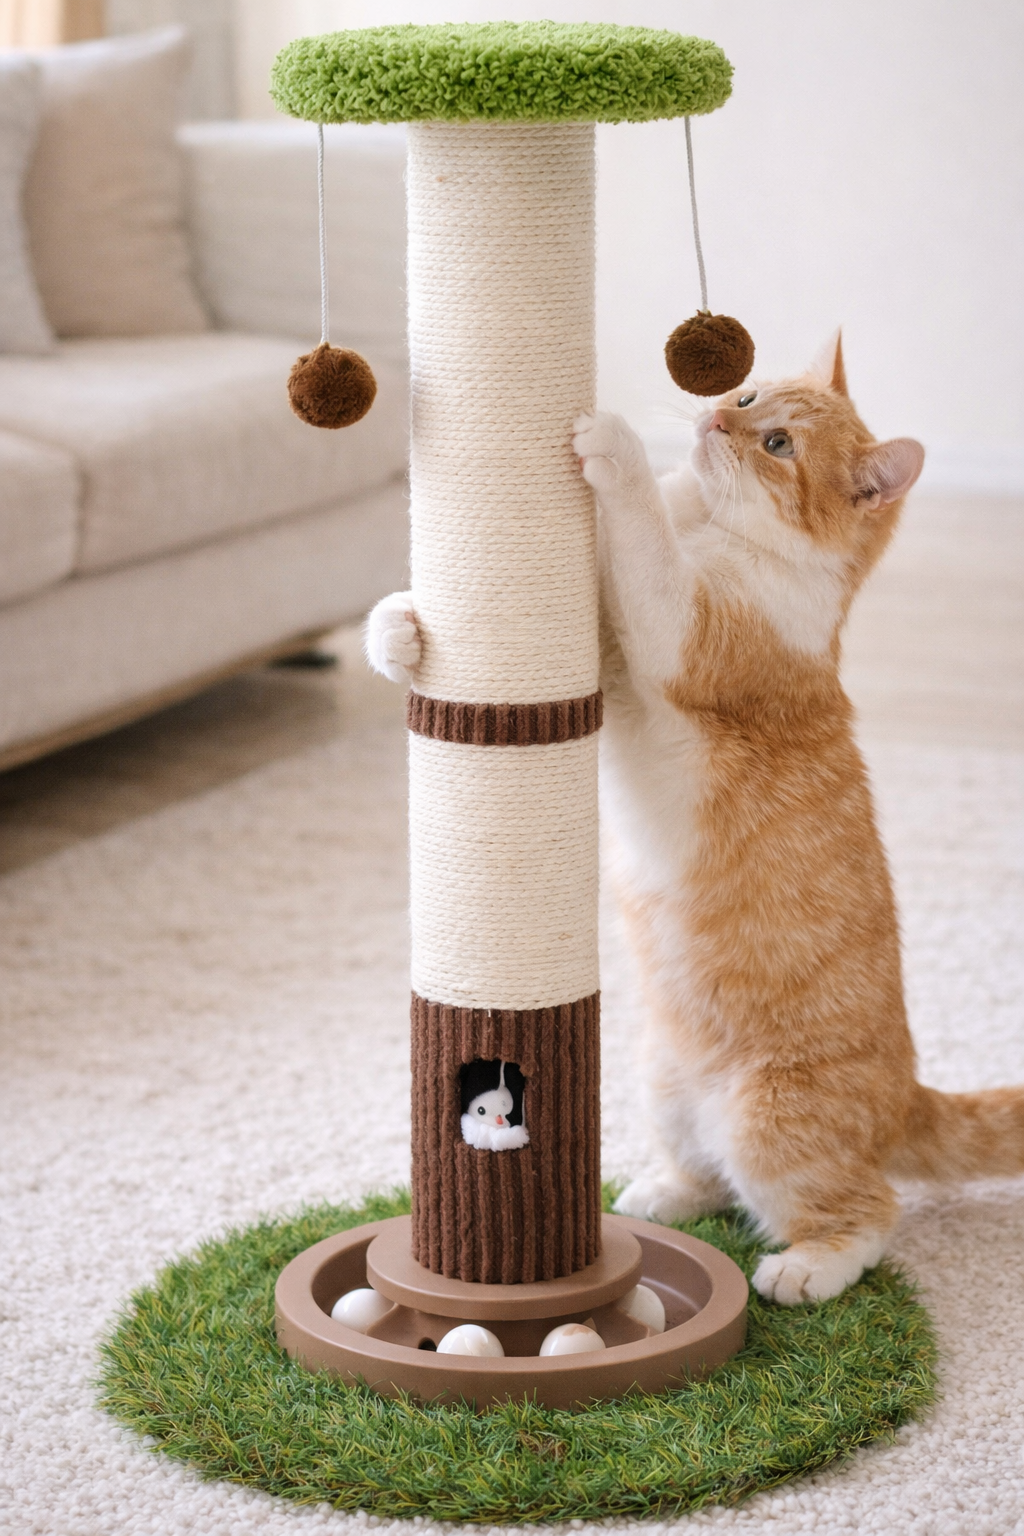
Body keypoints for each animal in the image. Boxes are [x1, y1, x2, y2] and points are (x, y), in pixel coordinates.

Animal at [366, 332, 1024, 1304]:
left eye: (778, 444)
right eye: (747, 394)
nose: (716, 418)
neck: (711, 526)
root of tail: (905, 1094)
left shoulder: (682, 634)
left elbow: (644, 546)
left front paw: (617, 443)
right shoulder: (607, 656)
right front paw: (398, 631)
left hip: (768, 1117)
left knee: (867, 1212)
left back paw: (805, 1269)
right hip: (661, 1082)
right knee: (710, 1173)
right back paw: (663, 1193)